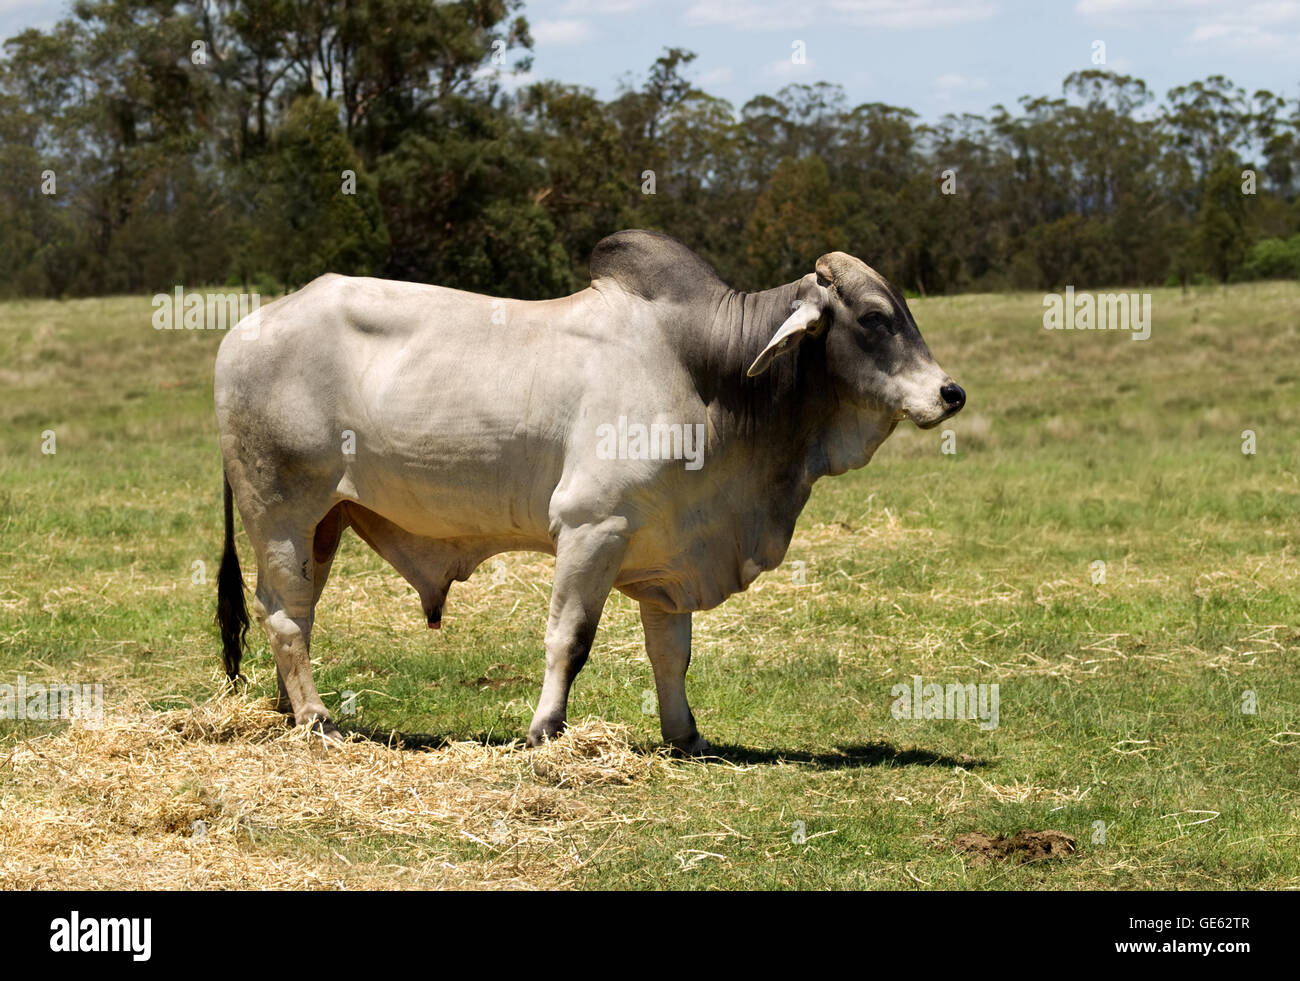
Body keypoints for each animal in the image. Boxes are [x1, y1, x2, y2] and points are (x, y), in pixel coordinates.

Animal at [215, 228, 967, 753]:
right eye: (873, 318)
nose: (950, 392)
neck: (709, 372)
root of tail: (243, 329)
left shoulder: (669, 553)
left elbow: (672, 652)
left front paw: (685, 734)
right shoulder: (590, 528)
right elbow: (569, 639)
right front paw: (545, 729)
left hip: (326, 522)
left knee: (295, 610)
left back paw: (290, 709)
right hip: (281, 513)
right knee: (286, 615)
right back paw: (316, 718)